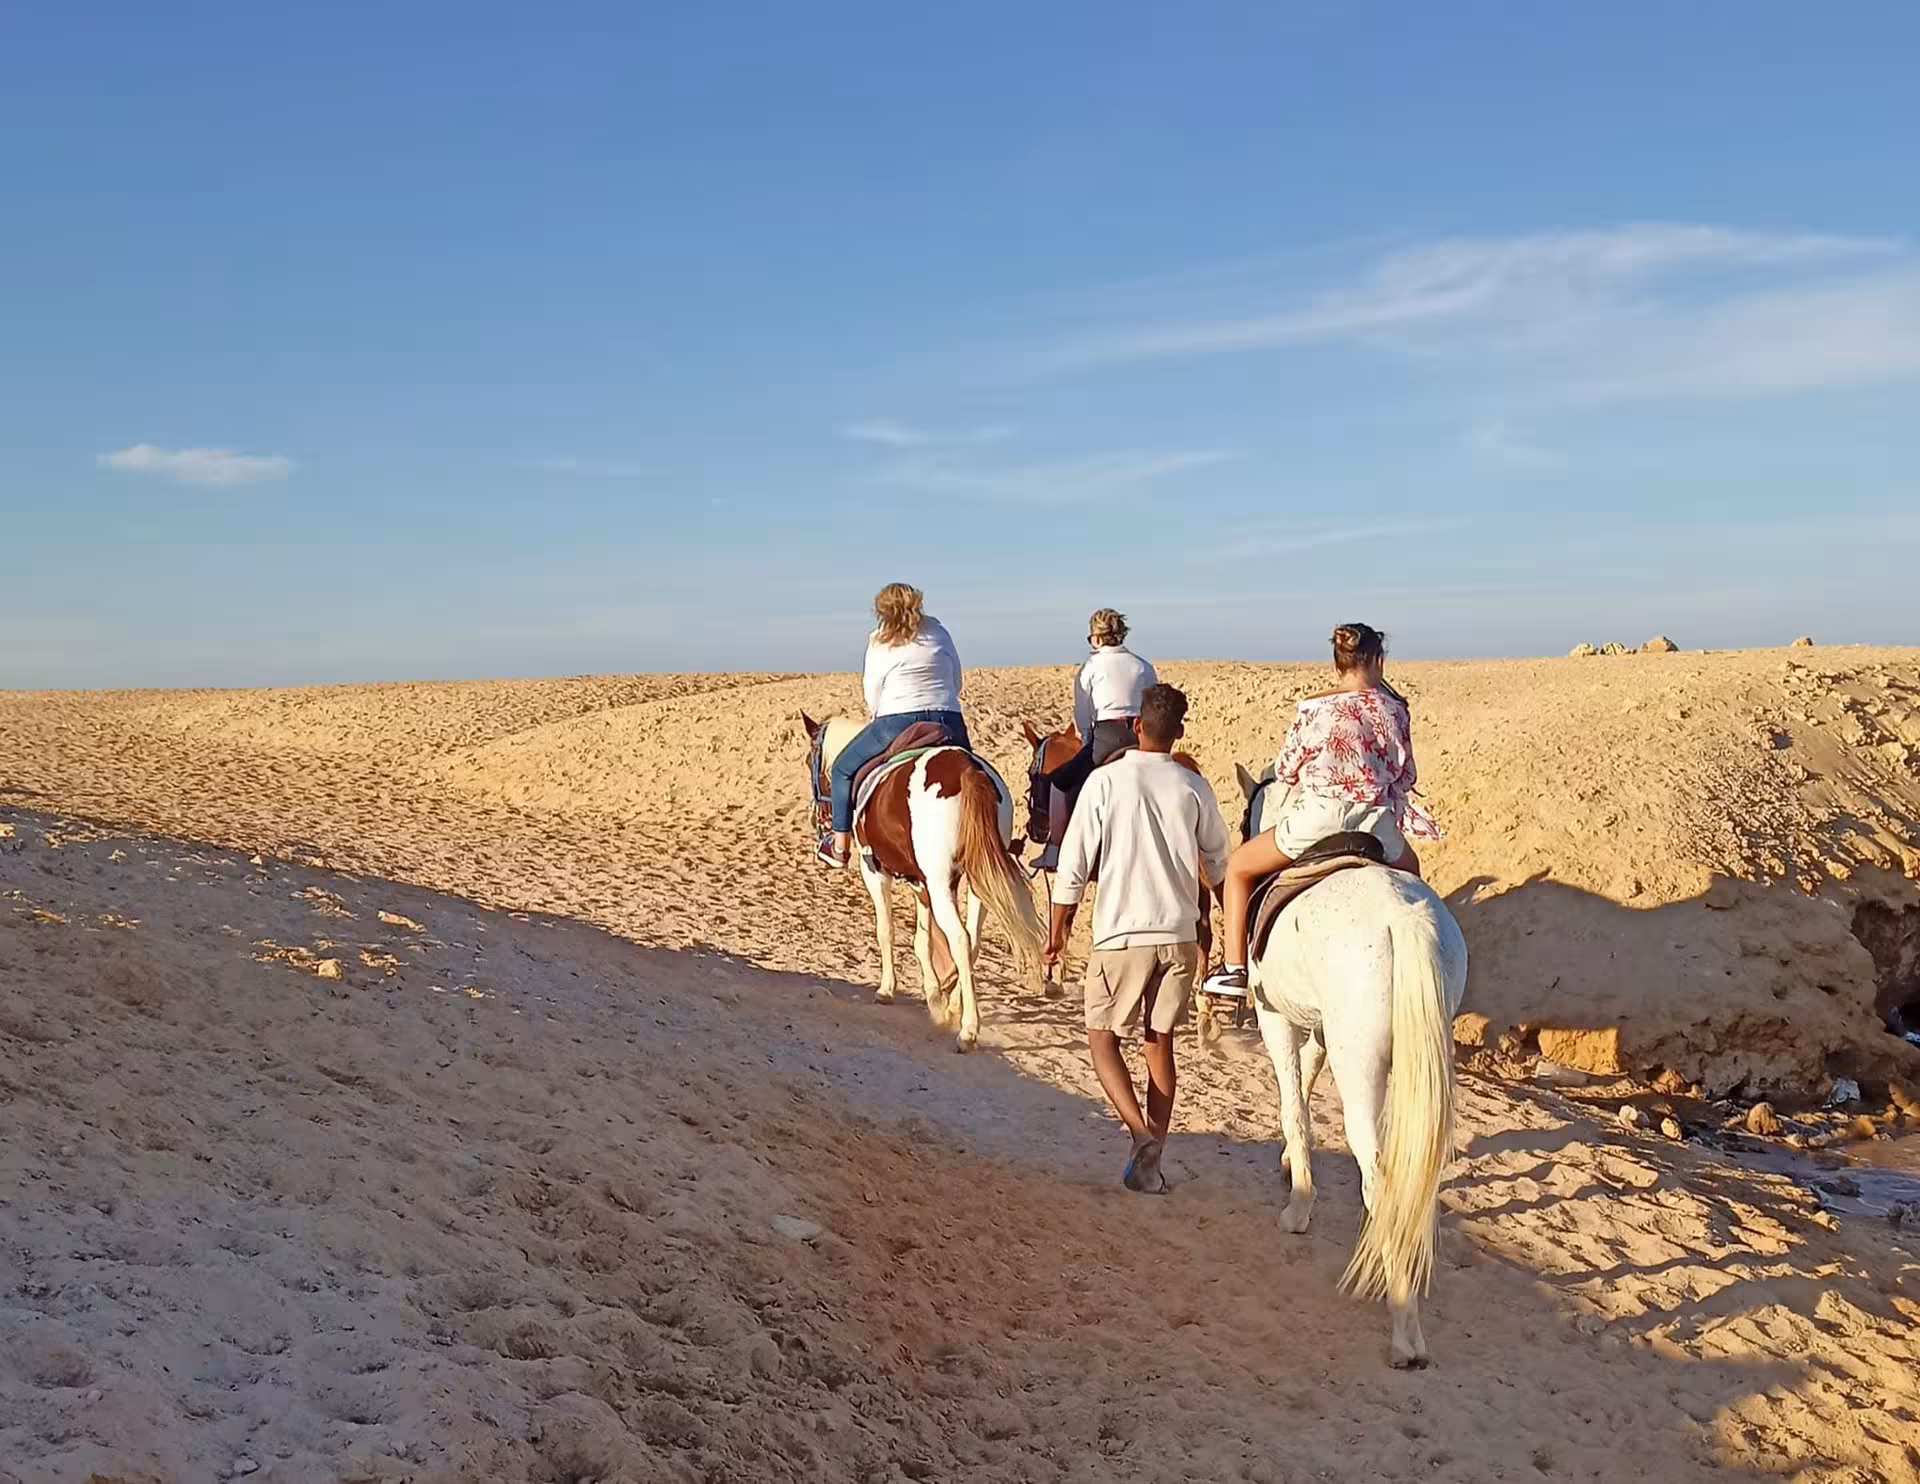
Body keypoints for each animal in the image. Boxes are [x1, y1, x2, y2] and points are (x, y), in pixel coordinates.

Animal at [802, 714, 1047, 1051]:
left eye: (808, 760)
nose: (817, 817)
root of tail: (967, 771)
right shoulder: (923, 884)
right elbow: (923, 940)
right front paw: (935, 999)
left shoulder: (875, 872)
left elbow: (886, 931)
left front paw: (887, 990)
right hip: (977, 880)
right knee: (972, 941)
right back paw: (956, 1007)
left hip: (942, 883)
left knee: (959, 938)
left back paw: (968, 1030)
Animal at [1235, 763, 1469, 1368]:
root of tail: (1403, 919)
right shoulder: (1320, 1028)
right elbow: (1306, 1085)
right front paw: (1290, 1166)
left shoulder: (1276, 1019)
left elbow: (1295, 1107)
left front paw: (1298, 1207)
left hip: (1359, 1065)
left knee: (1381, 1176)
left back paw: (1404, 1328)